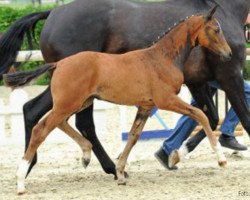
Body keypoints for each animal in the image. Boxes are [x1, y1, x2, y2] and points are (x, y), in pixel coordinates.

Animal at [3, 7, 231, 194]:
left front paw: (120, 173)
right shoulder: (166, 100)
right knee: (41, 129)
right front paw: (221, 159)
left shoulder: (146, 106)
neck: (162, 58)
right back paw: (21, 180)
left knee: (61, 123)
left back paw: (86, 154)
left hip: (79, 102)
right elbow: (201, 114)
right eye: (216, 29)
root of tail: (59, 64)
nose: (228, 54)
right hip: (69, 103)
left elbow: (133, 136)